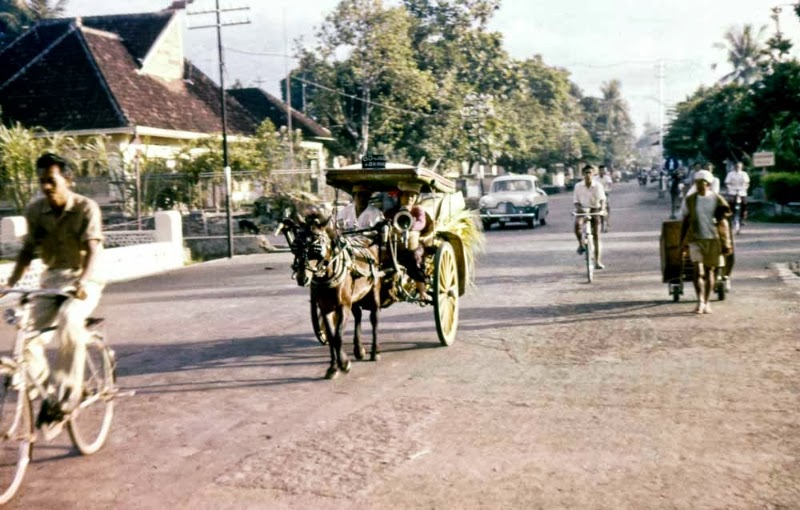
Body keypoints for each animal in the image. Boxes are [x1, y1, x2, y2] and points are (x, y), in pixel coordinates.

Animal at [278, 208, 384, 378]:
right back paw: (359, 349)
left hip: (373, 291)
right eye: (296, 246)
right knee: (358, 316)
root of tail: (367, 239)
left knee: (374, 318)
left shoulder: (343, 306)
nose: (302, 278)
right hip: (353, 297)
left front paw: (344, 364)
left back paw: (375, 351)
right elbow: (332, 337)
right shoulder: (325, 308)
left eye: (316, 248)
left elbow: (338, 336)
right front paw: (333, 367)